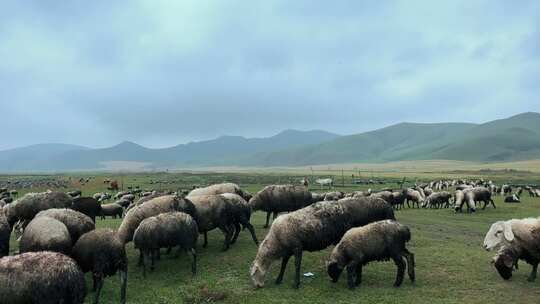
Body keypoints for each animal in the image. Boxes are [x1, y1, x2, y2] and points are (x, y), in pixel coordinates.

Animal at [251, 196, 394, 288]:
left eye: (254, 274)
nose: (257, 286)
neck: (276, 241)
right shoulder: (288, 249)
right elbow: (284, 264)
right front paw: (279, 279)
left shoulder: (297, 247)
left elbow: (297, 265)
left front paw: (296, 283)